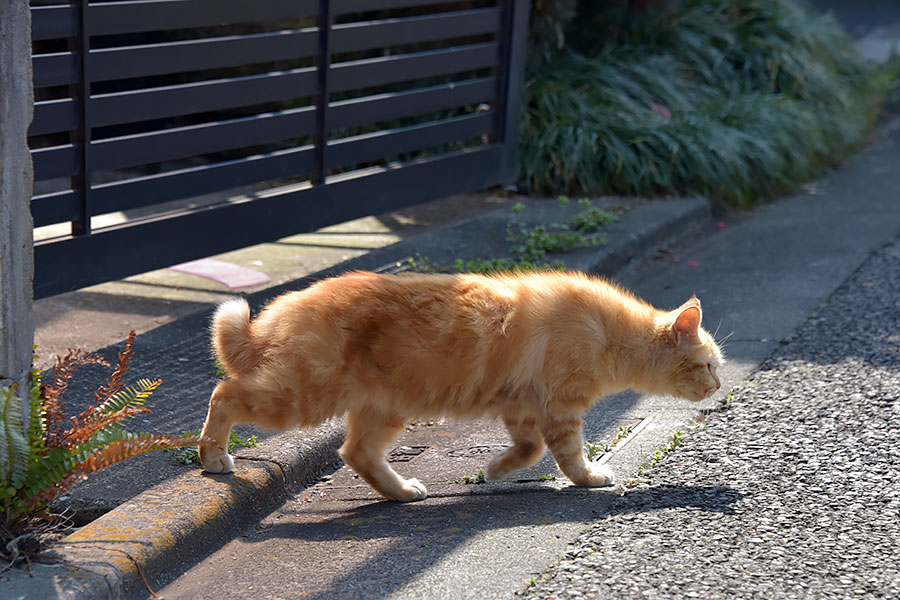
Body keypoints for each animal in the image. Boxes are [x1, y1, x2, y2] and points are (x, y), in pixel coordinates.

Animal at [199, 270, 724, 500]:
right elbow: (569, 457)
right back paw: (213, 456)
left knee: (357, 453)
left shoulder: (523, 407)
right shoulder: (560, 408)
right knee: (224, 394)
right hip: (303, 394)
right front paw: (591, 478)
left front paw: (494, 469)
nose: (720, 387)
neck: (611, 334)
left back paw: (401, 491)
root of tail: (287, 303)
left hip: (383, 406)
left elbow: (529, 449)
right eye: (710, 365)